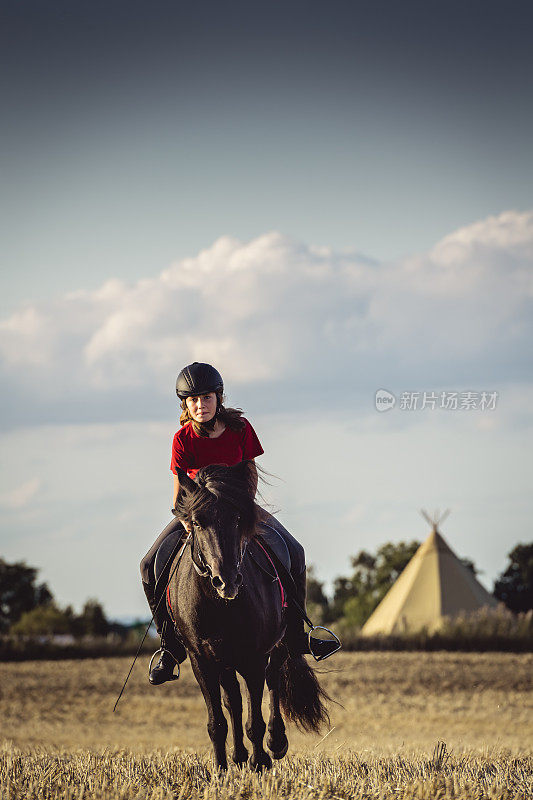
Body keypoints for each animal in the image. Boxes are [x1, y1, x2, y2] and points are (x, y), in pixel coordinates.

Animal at [167, 460, 328, 772]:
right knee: (233, 699)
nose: (226, 581)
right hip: (225, 660)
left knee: (273, 680)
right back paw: (239, 755)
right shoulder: (201, 660)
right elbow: (218, 721)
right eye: (197, 522)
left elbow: (255, 719)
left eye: (238, 518)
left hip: (278, 644)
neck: (218, 605)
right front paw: (220, 769)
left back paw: (274, 744)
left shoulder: (253, 657)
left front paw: (260, 761)